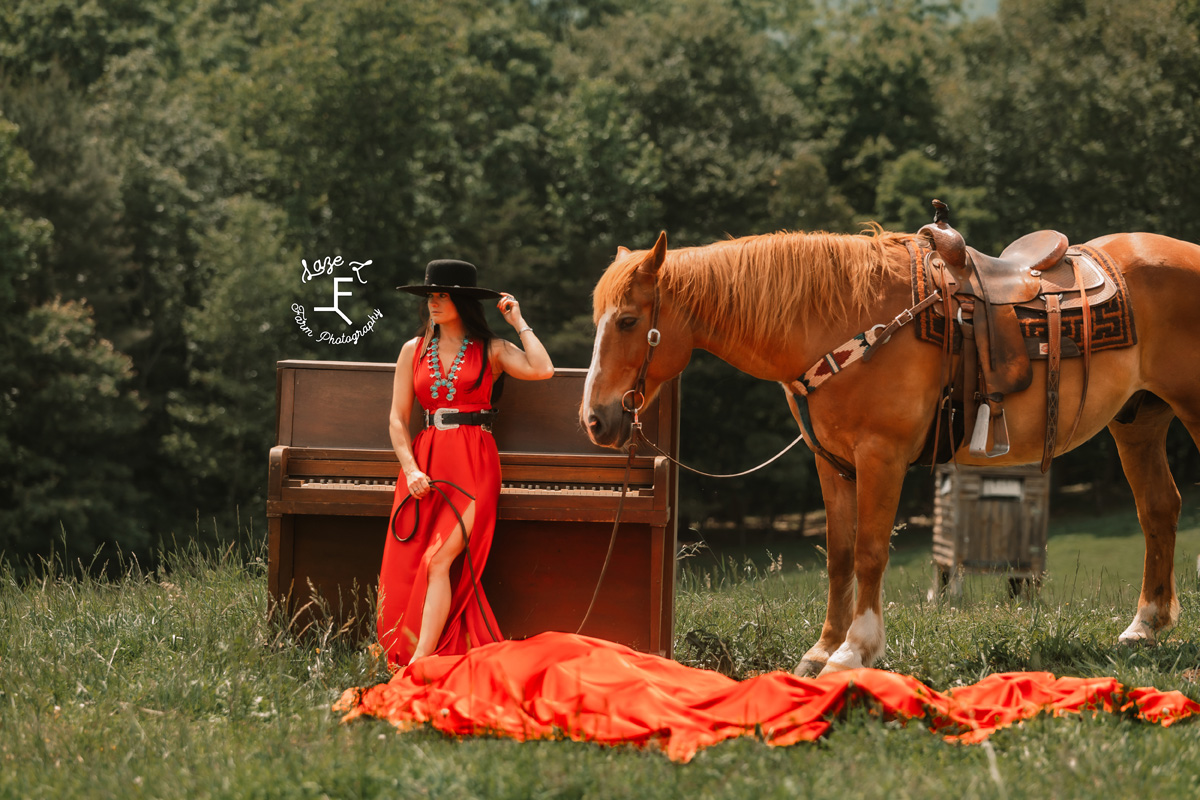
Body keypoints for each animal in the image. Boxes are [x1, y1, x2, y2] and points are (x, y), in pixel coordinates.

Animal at [580, 227, 1200, 681]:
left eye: (629, 320)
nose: (594, 419)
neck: (847, 322)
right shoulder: (832, 464)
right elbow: (838, 554)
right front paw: (820, 649)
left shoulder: (881, 456)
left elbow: (871, 552)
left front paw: (854, 651)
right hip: (1138, 422)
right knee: (1159, 509)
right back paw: (1144, 626)